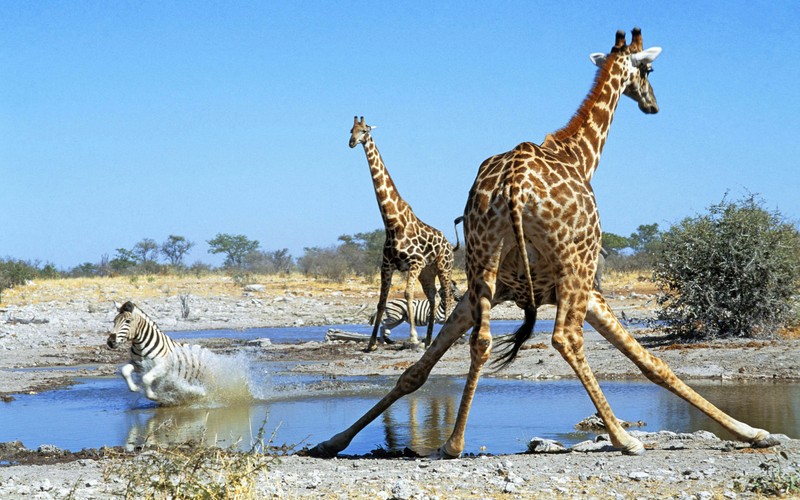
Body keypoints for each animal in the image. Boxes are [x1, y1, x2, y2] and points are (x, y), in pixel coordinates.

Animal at [350, 116, 456, 352]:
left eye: (364, 130)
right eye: (350, 130)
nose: (351, 142)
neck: (392, 222)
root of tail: (449, 244)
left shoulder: (414, 262)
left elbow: (407, 294)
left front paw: (413, 338)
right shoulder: (387, 265)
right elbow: (381, 301)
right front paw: (371, 343)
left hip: (444, 266)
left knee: (447, 295)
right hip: (428, 271)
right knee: (433, 297)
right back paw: (429, 341)